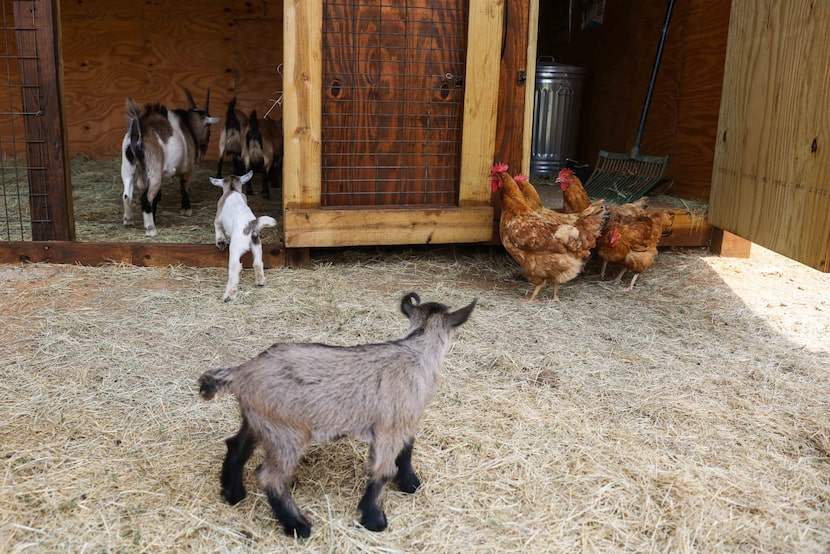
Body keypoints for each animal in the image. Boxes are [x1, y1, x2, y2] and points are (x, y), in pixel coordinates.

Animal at [197, 292, 478, 536]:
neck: (416, 351)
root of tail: (241, 373)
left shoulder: (404, 422)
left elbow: (406, 449)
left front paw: (409, 484)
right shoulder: (390, 427)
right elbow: (383, 470)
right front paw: (374, 519)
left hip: (258, 421)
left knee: (236, 447)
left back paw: (234, 494)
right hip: (286, 433)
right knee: (271, 477)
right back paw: (298, 526)